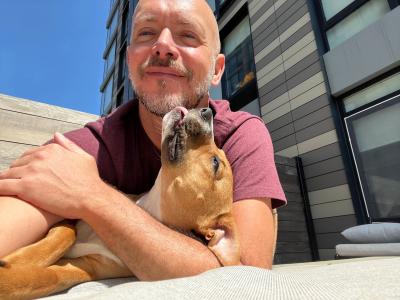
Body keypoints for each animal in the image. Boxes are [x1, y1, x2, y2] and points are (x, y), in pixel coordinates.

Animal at [0, 106, 239, 298]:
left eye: (215, 163)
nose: (207, 111)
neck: (146, 208)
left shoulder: (88, 267)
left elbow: (48, 277)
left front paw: (9, 277)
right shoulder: (69, 217)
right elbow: (66, 235)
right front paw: (18, 260)